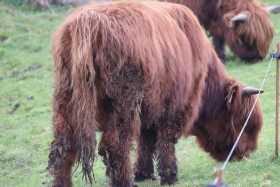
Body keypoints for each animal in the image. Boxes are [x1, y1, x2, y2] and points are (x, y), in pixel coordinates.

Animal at [47, 1, 264, 187]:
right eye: (244, 121)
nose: (248, 152)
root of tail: (87, 20)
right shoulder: (176, 106)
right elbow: (166, 140)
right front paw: (170, 176)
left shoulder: (150, 107)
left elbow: (146, 140)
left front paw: (143, 173)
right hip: (124, 103)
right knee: (115, 146)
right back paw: (124, 182)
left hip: (65, 99)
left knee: (62, 149)